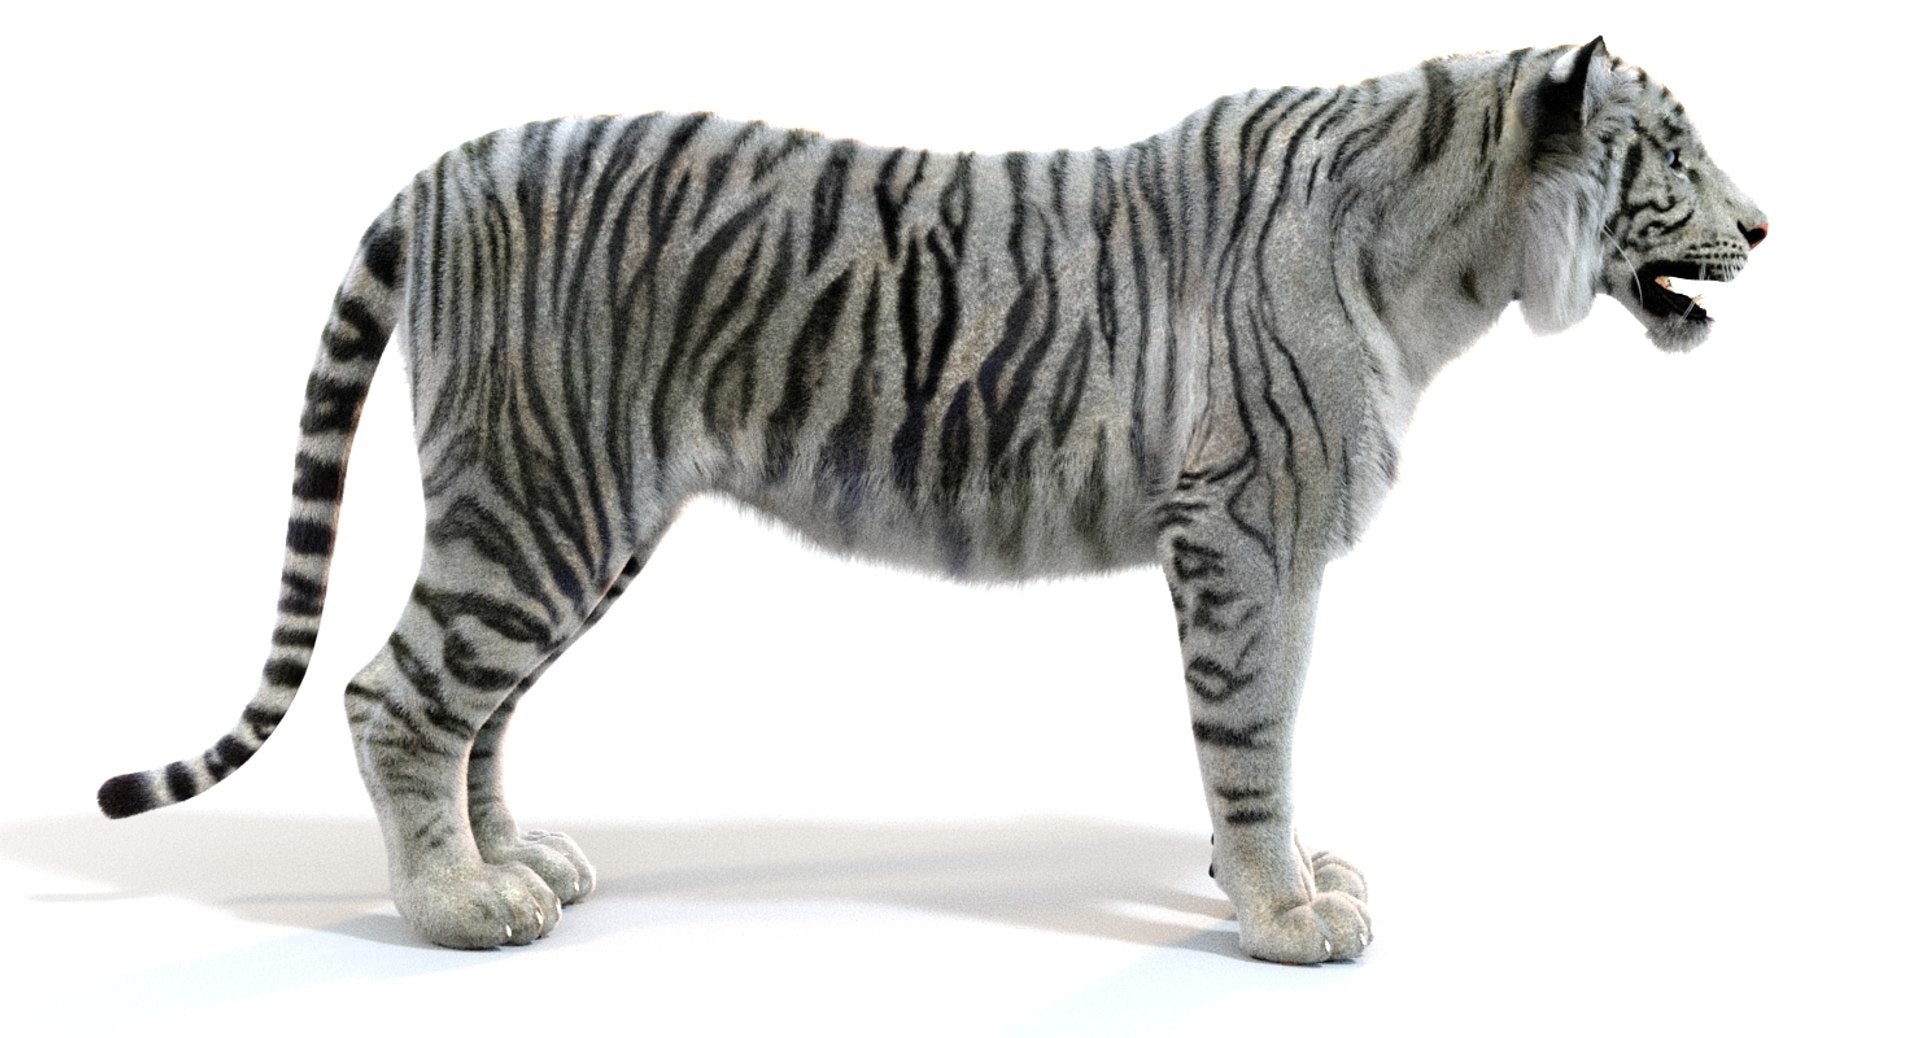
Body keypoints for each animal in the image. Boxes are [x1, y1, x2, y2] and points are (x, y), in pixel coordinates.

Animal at [98, 36, 1766, 963]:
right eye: (1675, 159)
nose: (1765, 223)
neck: (1455, 260)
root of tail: (449, 163)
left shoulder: (1279, 549)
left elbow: (1269, 726)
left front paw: (1273, 879)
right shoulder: (1242, 531)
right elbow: (1249, 733)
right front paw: (1287, 916)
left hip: (573, 511)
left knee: (478, 706)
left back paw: (519, 863)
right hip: (542, 498)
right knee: (396, 692)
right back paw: (456, 909)